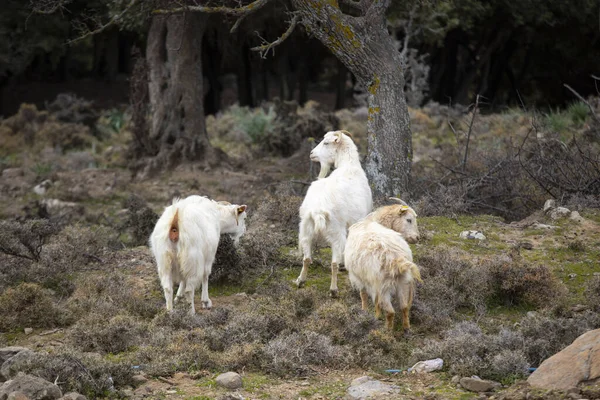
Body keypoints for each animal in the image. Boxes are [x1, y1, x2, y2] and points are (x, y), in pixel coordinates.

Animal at [294, 131, 372, 296]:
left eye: (326, 143)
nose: (311, 154)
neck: (349, 167)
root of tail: (318, 210)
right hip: (336, 232)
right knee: (334, 263)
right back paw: (334, 290)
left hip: (306, 230)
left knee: (306, 259)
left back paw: (300, 281)